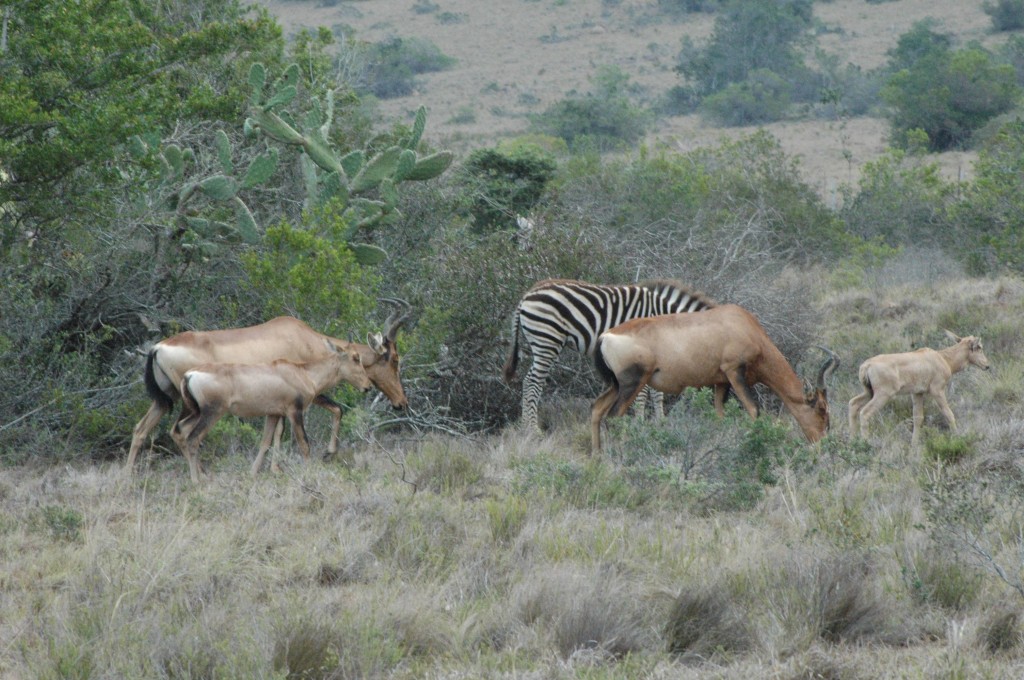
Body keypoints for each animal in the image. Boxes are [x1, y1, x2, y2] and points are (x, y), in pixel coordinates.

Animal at [503, 278, 715, 431]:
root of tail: (527, 295)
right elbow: (643, 393)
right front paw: (639, 425)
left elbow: (657, 393)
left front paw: (660, 423)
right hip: (547, 340)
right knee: (532, 382)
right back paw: (532, 430)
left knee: (528, 381)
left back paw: (526, 428)